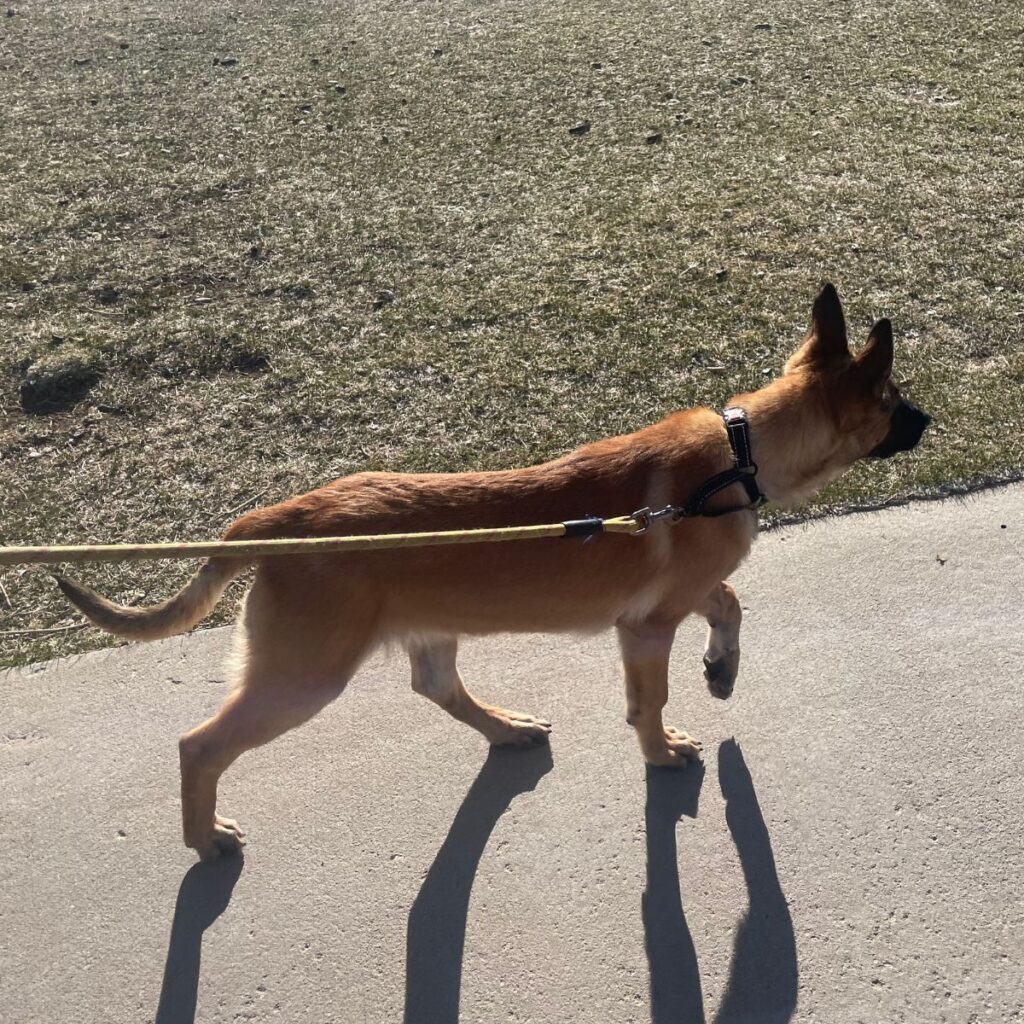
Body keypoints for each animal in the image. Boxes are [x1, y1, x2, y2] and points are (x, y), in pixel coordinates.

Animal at [56, 284, 929, 860]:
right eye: (893, 401)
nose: (930, 420)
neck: (741, 451)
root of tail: (273, 523)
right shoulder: (645, 629)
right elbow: (651, 701)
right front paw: (662, 752)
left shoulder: (676, 600)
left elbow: (731, 602)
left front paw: (722, 668)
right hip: (302, 678)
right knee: (199, 746)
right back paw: (205, 838)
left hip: (422, 634)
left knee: (437, 686)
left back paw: (506, 728)